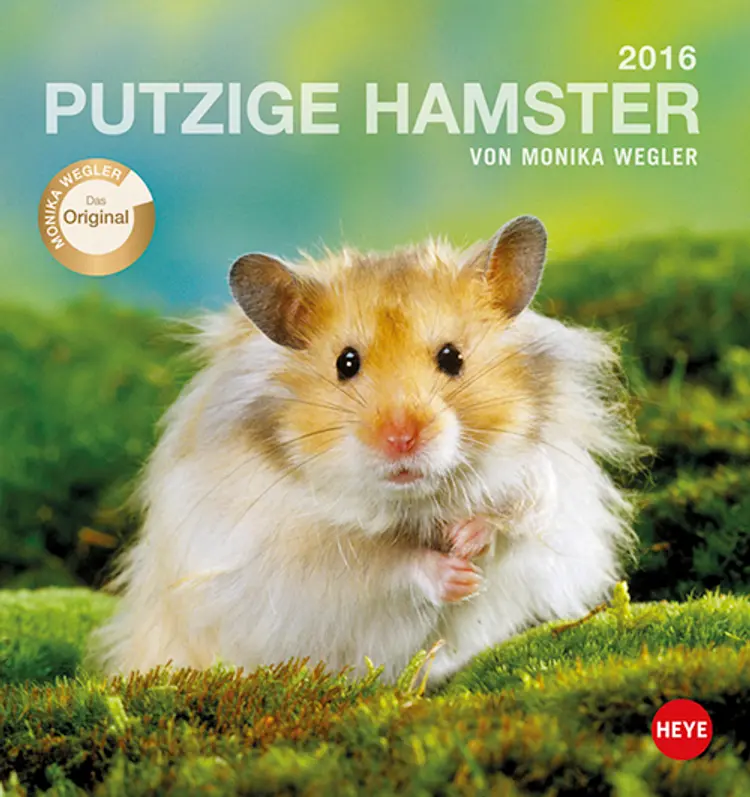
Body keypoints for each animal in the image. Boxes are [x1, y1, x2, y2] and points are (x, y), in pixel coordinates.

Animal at [96, 215, 641, 685]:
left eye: (452, 357)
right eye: (347, 362)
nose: (401, 439)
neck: (412, 501)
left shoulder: (547, 482)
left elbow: (518, 520)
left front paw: (468, 542)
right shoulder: (297, 559)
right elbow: (383, 564)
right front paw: (458, 575)